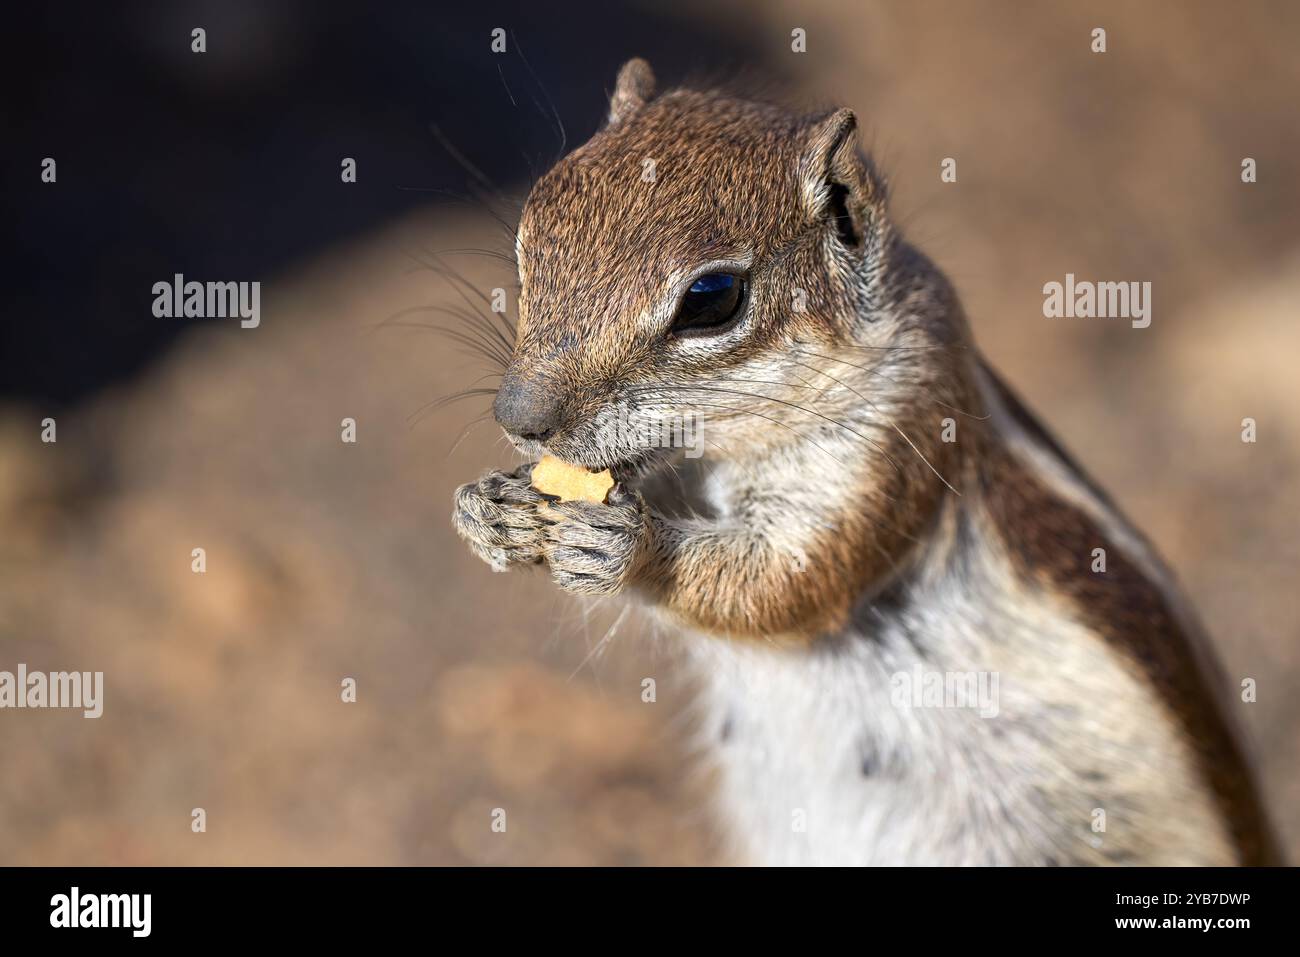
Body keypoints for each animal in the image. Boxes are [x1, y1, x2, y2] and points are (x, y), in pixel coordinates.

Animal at [449, 59, 1279, 868]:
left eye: (713, 297)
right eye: (528, 235)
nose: (520, 418)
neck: (716, 450)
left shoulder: (894, 440)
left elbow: (785, 582)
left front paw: (626, 545)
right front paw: (488, 509)